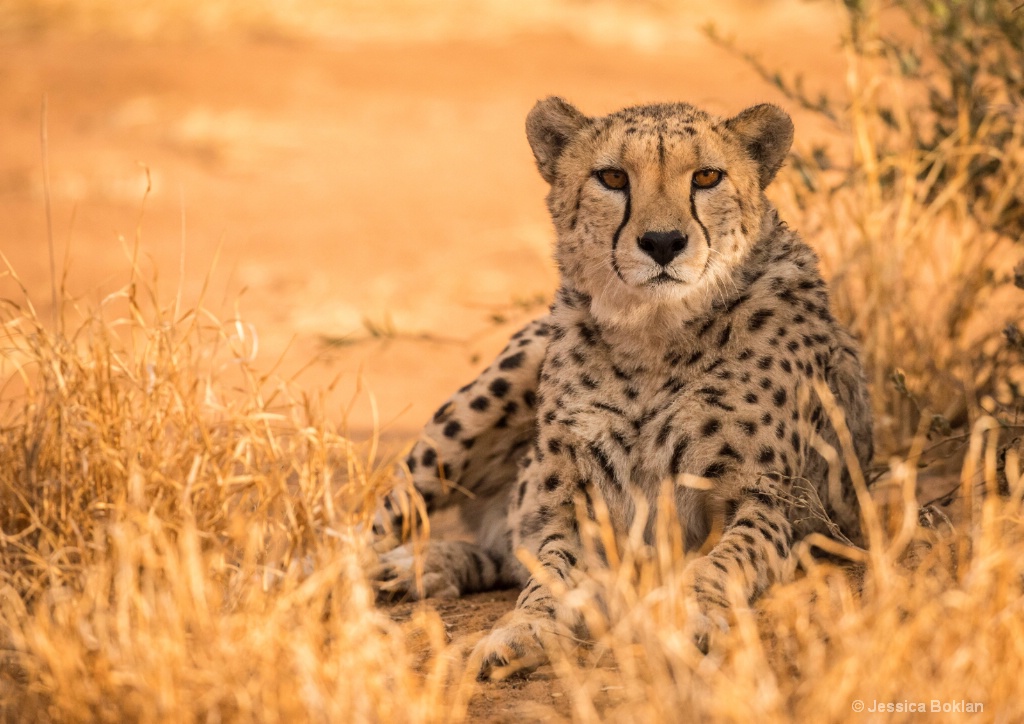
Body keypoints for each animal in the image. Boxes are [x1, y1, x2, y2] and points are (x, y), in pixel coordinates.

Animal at [374, 96, 872, 679]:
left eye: (707, 176)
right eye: (612, 177)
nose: (662, 243)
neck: (654, 337)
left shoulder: (768, 500)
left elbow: (727, 560)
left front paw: (689, 617)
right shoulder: (575, 502)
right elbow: (550, 572)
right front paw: (525, 630)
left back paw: (420, 568)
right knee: (372, 527)